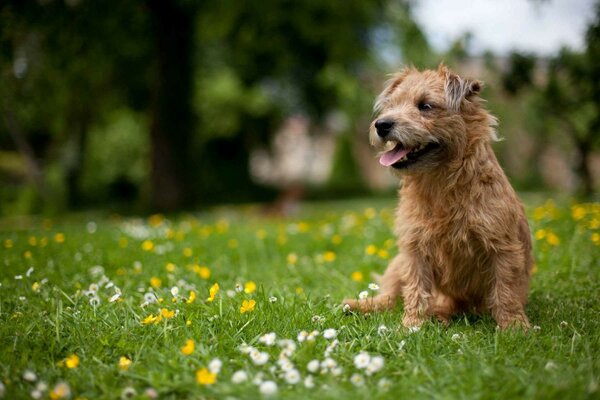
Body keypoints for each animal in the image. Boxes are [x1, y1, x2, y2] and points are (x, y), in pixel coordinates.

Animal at [344, 64, 532, 330]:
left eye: (425, 106)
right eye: (391, 105)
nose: (382, 124)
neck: (440, 185)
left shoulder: (502, 247)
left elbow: (505, 289)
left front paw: (514, 326)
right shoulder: (414, 248)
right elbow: (415, 288)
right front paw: (412, 324)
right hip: (397, 262)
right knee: (389, 297)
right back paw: (358, 305)